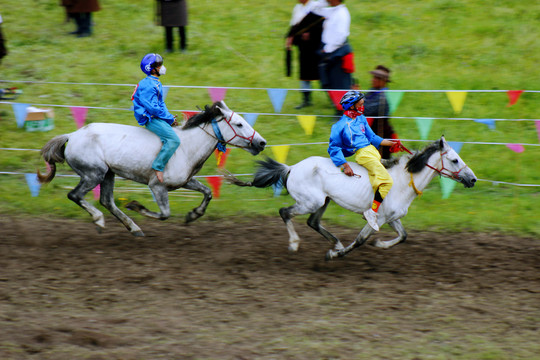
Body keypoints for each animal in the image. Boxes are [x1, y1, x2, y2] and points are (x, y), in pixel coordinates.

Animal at [37, 101, 266, 236]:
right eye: (239, 124)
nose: (262, 143)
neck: (186, 147)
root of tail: (71, 135)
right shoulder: (157, 186)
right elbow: (164, 213)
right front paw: (136, 205)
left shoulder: (185, 181)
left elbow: (208, 192)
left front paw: (193, 215)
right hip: (94, 174)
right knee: (75, 195)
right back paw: (100, 220)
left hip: (108, 174)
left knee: (107, 201)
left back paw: (134, 228)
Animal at [224, 136, 476, 260]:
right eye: (454, 160)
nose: (472, 179)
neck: (404, 181)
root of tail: (292, 167)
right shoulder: (377, 219)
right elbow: (360, 240)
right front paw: (336, 254)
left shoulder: (392, 217)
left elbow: (404, 236)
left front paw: (380, 244)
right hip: (311, 202)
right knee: (285, 212)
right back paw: (295, 244)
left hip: (323, 202)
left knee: (312, 222)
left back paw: (335, 242)